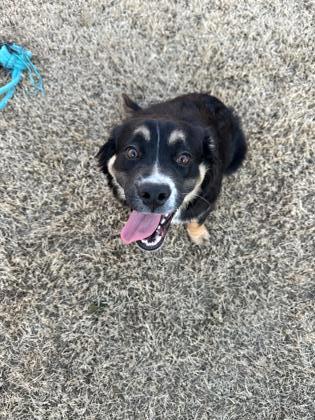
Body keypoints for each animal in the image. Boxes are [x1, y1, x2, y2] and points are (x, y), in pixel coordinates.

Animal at [97, 93, 248, 251]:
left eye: (183, 158)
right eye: (132, 152)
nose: (153, 194)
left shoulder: (208, 200)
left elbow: (197, 219)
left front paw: (199, 235)